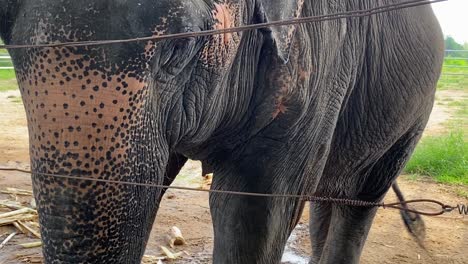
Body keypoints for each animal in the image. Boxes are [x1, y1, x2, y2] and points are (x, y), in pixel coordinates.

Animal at [0, 0, 442, 264]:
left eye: (180, 47)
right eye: (7, 42)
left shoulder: (320, 58)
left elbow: (252, 210)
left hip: (414, 114)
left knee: (361, 200)